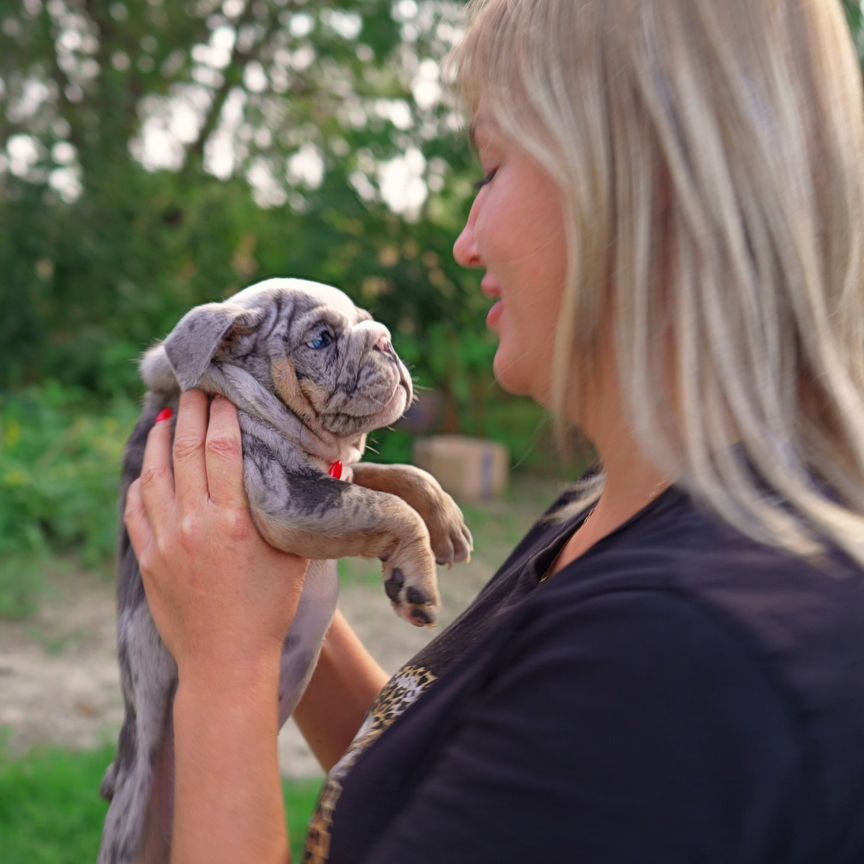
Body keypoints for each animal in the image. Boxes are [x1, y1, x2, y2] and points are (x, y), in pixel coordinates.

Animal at [100, 276, 472, 864]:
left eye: (367, 321)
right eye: (320, 340)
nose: (384, 339)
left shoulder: (336, 476)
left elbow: (398, 475)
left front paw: (446, 521)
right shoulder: (287, 496)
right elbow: (386, 506)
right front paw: (414, 582)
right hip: (134, 811)